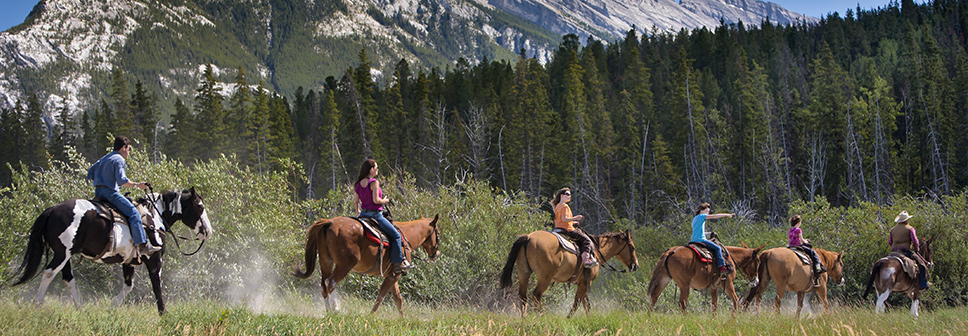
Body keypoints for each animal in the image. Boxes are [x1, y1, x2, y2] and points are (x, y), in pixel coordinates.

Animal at [11, 189, 212, 316]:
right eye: (200, 206)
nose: (208, 231)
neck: (154, 217)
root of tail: (53, 209)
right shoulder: (154, 260)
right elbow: (157, 287)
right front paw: (163, 314)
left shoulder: (128, 261)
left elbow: (128, 286)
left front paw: (112, 306)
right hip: (62, 254)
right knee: (48, 273)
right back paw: (38, 304)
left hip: (66, 256)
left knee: (68, 279)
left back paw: (80, 309)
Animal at [288, 215, 438, 316]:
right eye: (438, 233)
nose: (436, 254)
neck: (405, 237)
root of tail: (329, 223)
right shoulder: (394, 275)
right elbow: (381, 296)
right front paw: (371, 315)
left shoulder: (392, 274)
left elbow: (398, 299)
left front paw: (403, 319)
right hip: (345, 265)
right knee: (331, 282)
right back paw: (336, 310)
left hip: (326, 262)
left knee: (323, 285)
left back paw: (328, 311)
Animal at [500, 231, 644, 318]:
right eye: (632, 247)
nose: (636, 265)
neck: (597, 252)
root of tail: (528, 237)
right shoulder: (585, 283)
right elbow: (577, 303)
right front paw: (568, 318)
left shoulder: (583, 283)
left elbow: (586, 304)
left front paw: (589, 319)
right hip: (545, 278)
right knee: (536, 295)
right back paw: (543, 315)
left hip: (523, 274)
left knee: (522, 296)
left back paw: (523, 317)